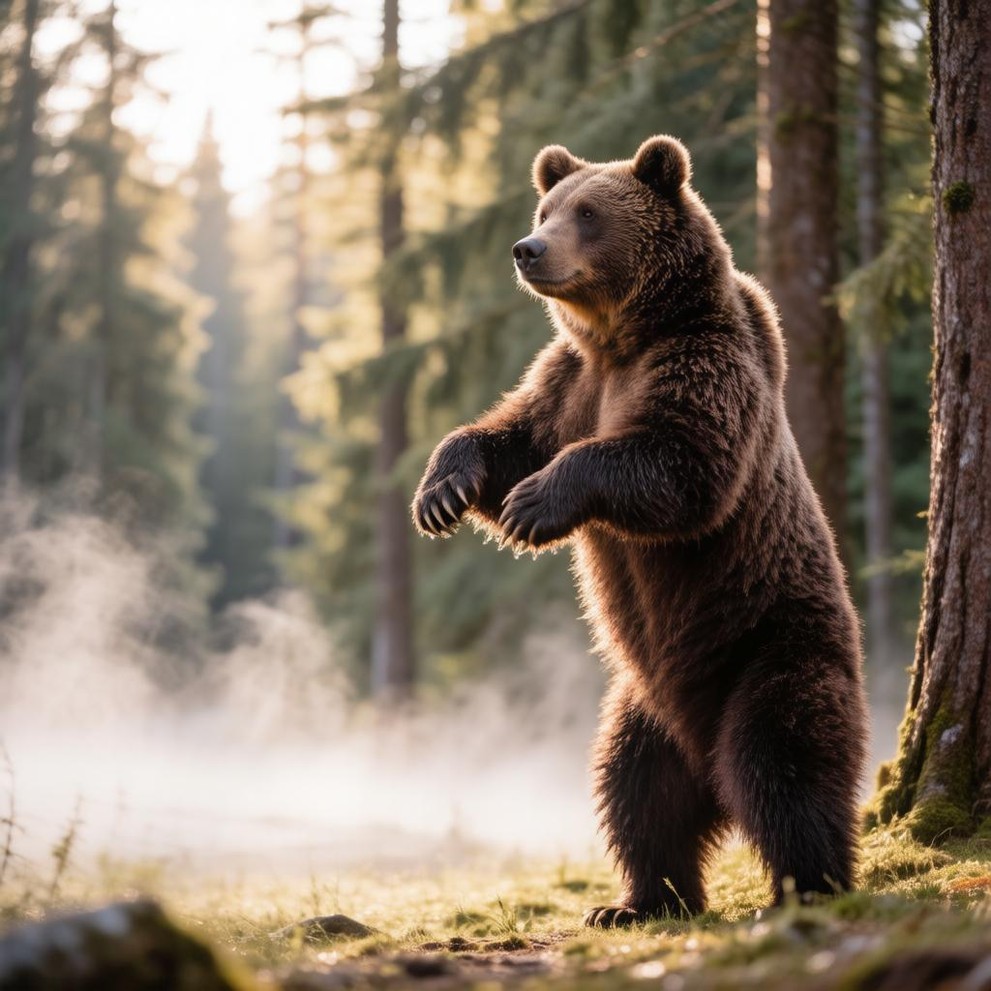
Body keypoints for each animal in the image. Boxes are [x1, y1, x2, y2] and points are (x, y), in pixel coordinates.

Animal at [411, 135, 868, 925]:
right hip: (641, 703)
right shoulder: (569, 383)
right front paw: (443, 491)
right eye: (546, 209)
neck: (624, 335)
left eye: (588, 214)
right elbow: (507, 436)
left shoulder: (703, 363)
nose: (527, 249)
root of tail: (704, 755)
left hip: (769, 649)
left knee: (785, 769)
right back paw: (640, 900)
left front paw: (536, 504)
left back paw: (805, 886)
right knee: (634, 791)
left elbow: (679, 463)